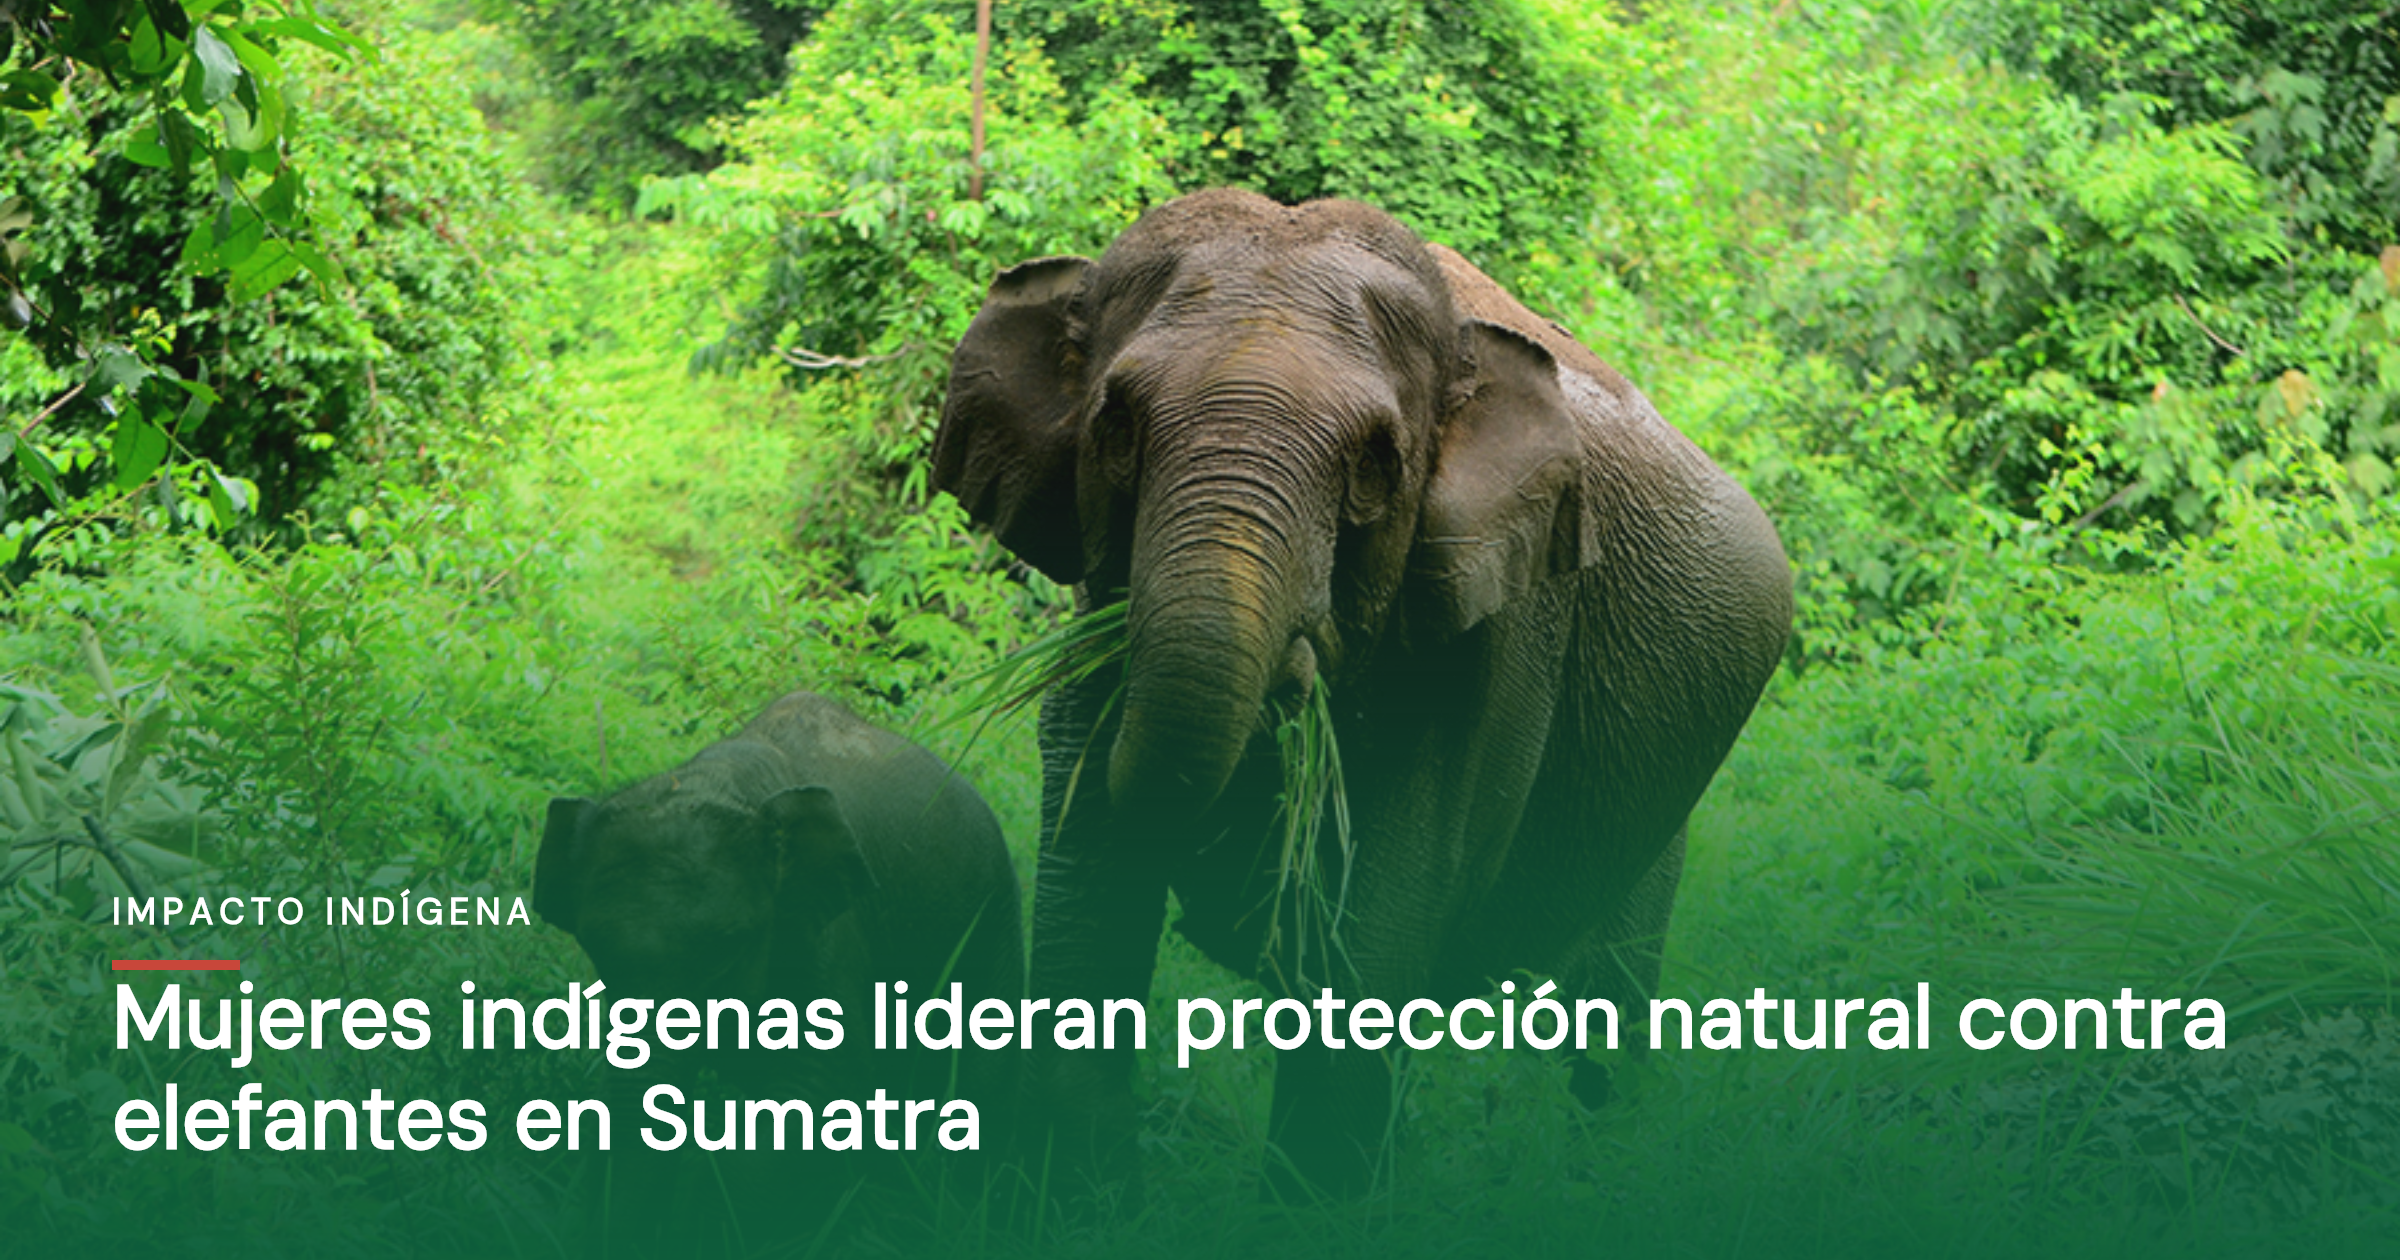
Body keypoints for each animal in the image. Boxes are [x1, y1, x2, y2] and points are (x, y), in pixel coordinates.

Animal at [930, 188, 1793, 1198]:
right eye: (1116, 427)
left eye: (1377, 466)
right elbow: (1091, 868)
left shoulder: (1501, 637)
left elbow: (1374, 940)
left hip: (1654, 828)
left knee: (1599, 1026)